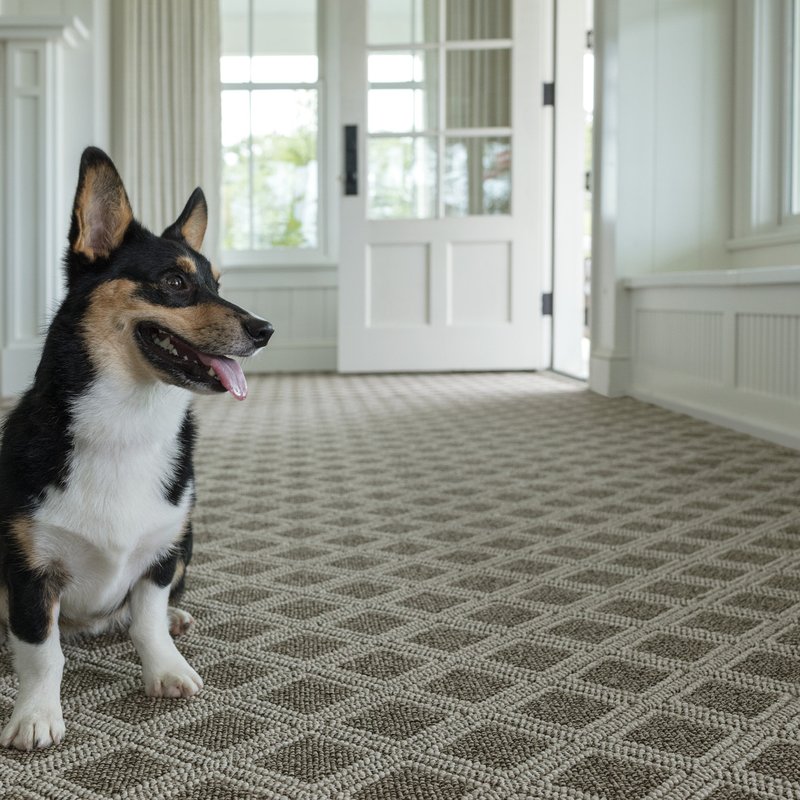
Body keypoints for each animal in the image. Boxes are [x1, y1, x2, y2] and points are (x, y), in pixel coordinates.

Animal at [0, 148, 272, 752]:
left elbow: (146, 619)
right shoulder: (29, 571)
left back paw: (175, 618)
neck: (129, 422)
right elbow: (41, 653)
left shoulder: (163, 550)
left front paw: (166, 669)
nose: (266, 329)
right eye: (174, 281)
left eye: (218, 283)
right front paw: (35, 717)